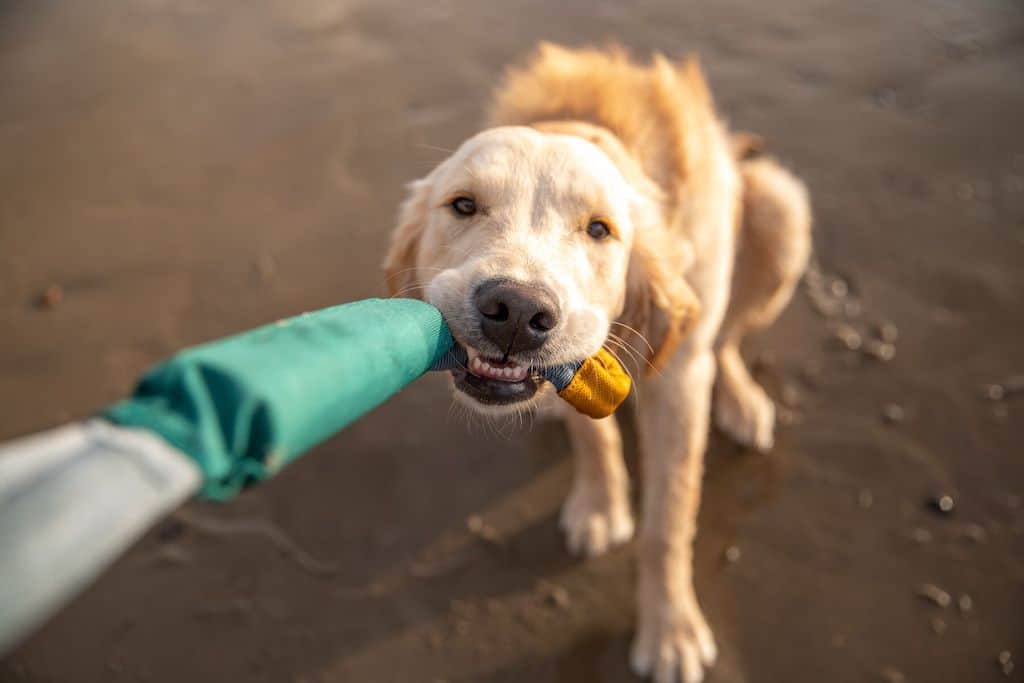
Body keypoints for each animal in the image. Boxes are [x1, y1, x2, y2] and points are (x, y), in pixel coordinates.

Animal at [382, 44, 806, 683]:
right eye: (464, 205)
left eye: (600, 230)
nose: (516, 311)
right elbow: (594, 437)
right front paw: (601, 505)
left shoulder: (679, 382)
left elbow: (668, 521)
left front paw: (670, 628)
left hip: (780, 209)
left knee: (727, 339)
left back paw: (741, 400)